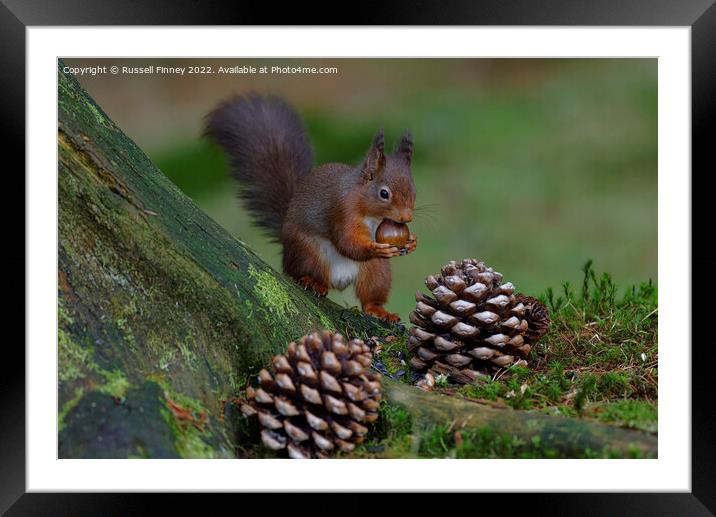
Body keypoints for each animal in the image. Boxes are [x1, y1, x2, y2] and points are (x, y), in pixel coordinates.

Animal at [204, 92, 416, 318]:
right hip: (308, 253)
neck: (369, 212)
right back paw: (312, 282)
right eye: (384, 193)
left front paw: (412, 241)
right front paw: (375, 247)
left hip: (376, 272)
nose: (407, 218)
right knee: (299, 273)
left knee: (371, 296)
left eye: (414, 191)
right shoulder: (342, 210)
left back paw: (380, 311)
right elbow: (346, 241)